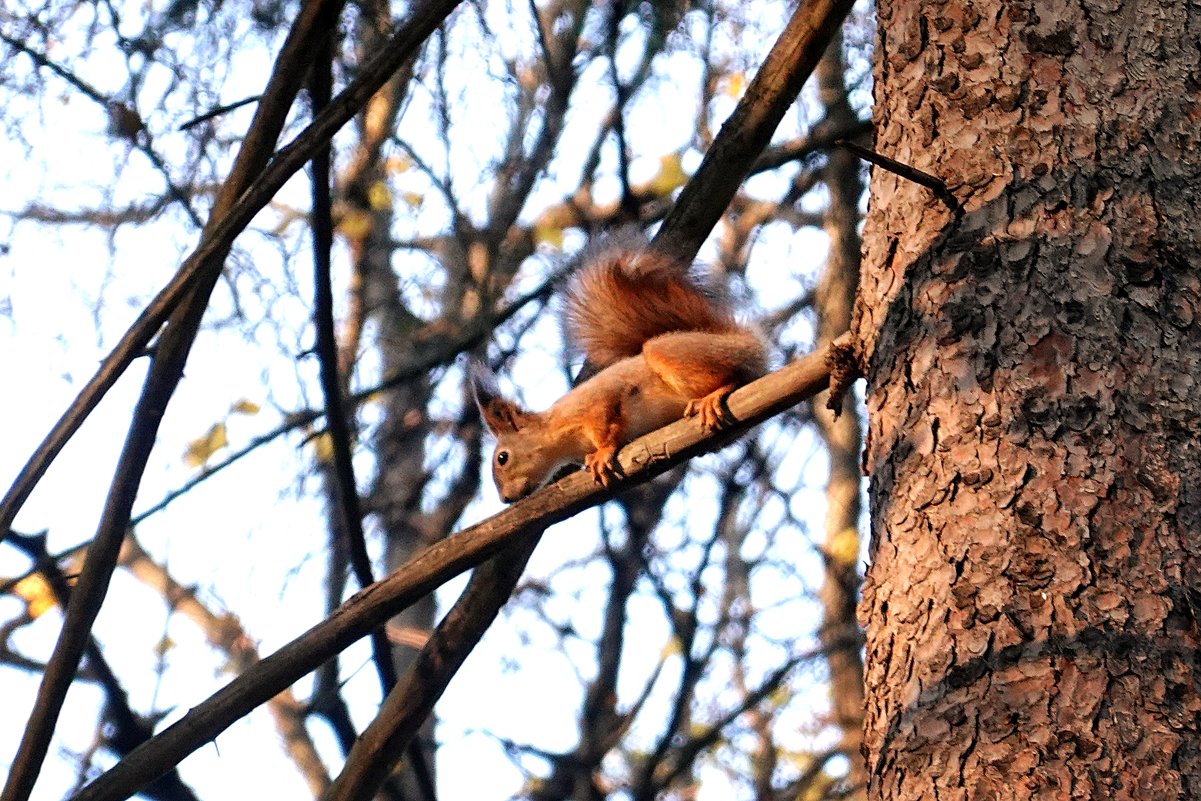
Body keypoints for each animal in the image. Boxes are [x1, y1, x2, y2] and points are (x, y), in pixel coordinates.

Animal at [473, 240, 763, 501]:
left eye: (502, 458)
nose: (505, 499)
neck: (558, 433)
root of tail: (744, 343)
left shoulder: (598, 400)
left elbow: (607, 420)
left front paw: (602, 452)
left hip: (676, 353)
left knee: (736, 375)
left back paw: (713, 396)